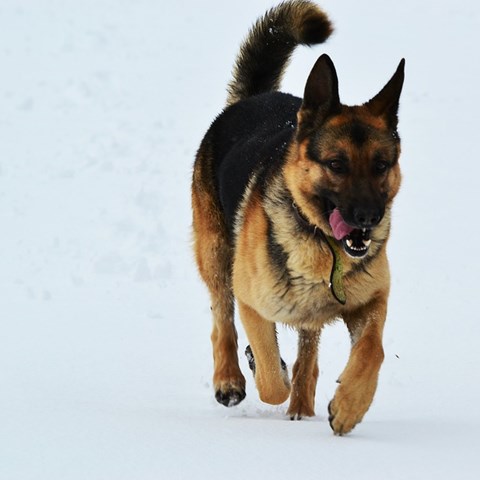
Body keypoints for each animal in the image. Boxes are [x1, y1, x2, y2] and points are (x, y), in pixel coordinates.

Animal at [191, 0, 404, 436]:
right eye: (336, 165)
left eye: (381, 165)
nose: (368, 218)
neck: (327, 250)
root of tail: (254, 99)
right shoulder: (253, 301)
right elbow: (271, 381)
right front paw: (266, 369)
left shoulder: (371, 301)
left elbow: (372, 349)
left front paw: (349, 405)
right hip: (217, 255)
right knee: (222, 317)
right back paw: (231, 378)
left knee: (309, 353)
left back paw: (302, 406)